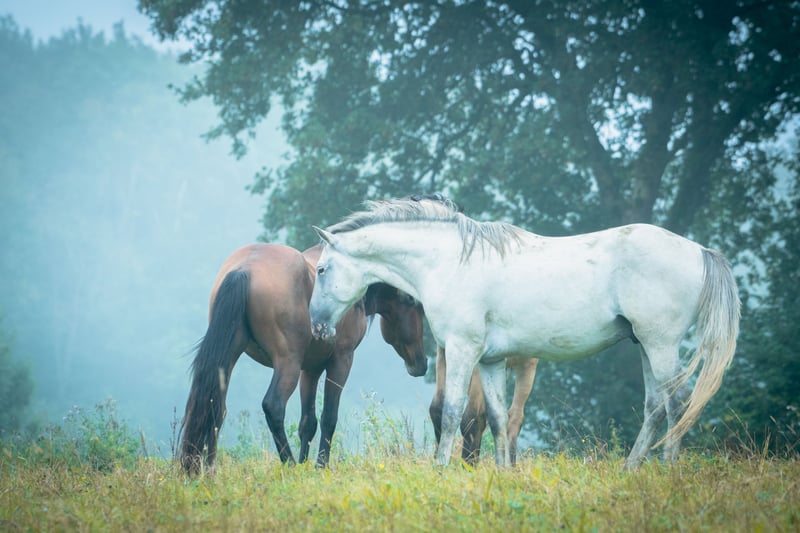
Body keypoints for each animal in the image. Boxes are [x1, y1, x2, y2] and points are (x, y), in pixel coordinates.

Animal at [180, 242, 427, 474]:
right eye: (412, 302)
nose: (421, 364)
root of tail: (244, 269)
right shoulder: (341, 360)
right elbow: (329, 417)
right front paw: (320, 466)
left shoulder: (310, 369)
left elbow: (308, 422)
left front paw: (306, 465)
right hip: (287, 363)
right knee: (273, 405)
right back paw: (288, 464)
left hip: (230, 359)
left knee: (215, 407)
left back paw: (208, 468)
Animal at [308, 196, 740, 469]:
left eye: (322, 269)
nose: (317, 324)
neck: (450, 262)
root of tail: (699, 251)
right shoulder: (492, 361)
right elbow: (498, 417)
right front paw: (502, 473)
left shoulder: (463, 351)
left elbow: (452, 412)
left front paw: (440, 469)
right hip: (646, 347)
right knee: (655, 406)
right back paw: (630, 469)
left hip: (661, 344)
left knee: (677, 402)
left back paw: (668, 469)